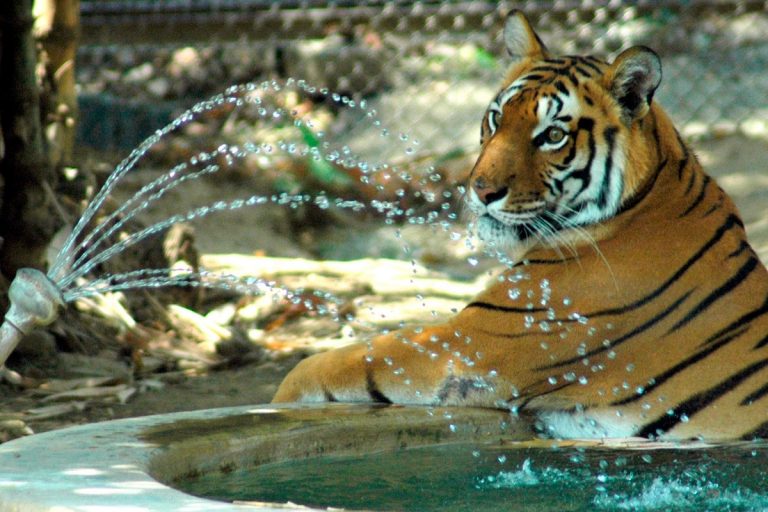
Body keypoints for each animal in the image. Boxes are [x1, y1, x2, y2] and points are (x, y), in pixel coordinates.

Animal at [273, 11, 768, 441]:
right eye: (496, 118)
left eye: (553, 135)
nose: (480, 189)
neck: (644, 201)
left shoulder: (469, 342)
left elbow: (335, 363)